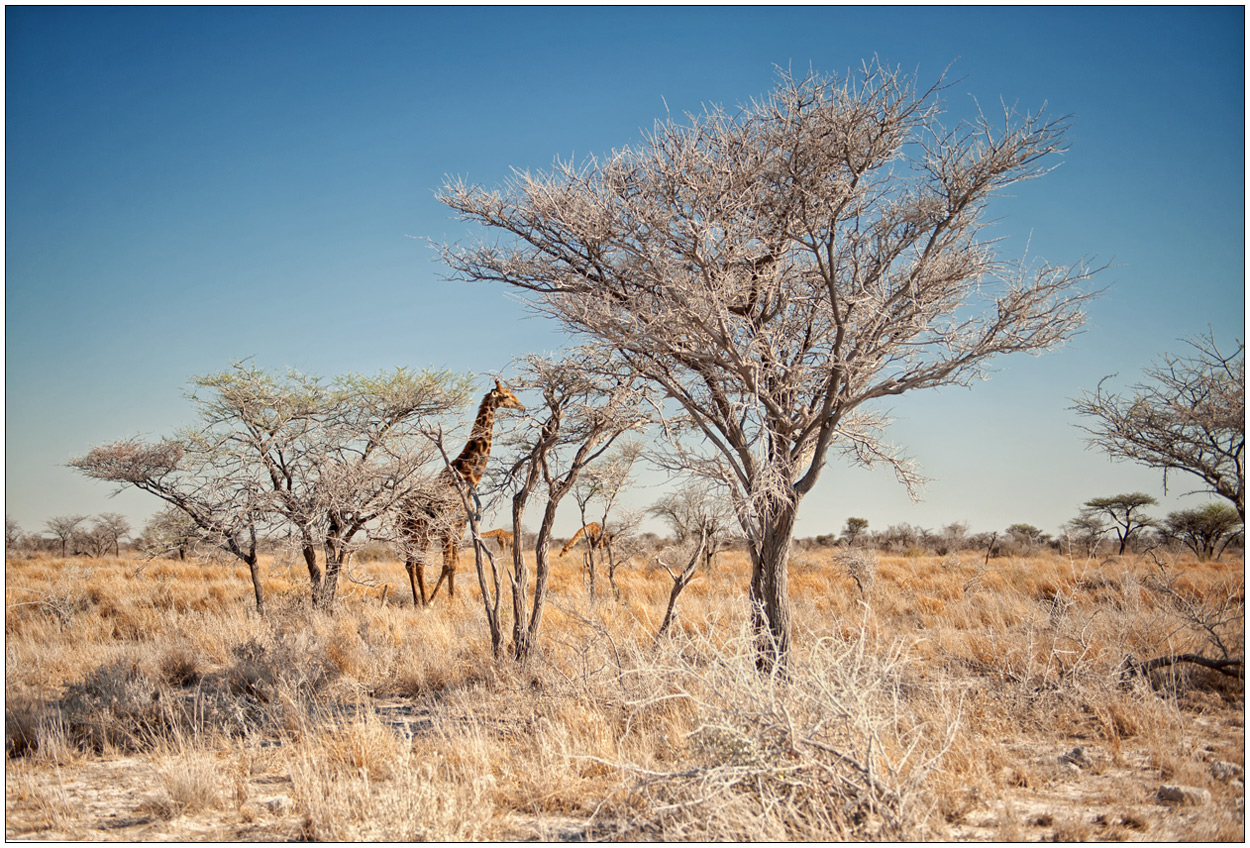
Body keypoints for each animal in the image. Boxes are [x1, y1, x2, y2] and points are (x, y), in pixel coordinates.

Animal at [397, 382, 520, 607]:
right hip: (417, 533)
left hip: (415, 535)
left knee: (413, 563)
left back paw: (418, 600)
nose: (522, 406)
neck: (467, 477)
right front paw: (435, 601)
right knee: (417, 563)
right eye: (507, 395)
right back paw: (422, 601)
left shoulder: (459, 526)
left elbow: (453, 565)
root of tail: (400, 515)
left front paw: (451, 598)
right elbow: (448, 564)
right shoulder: (449, 526)